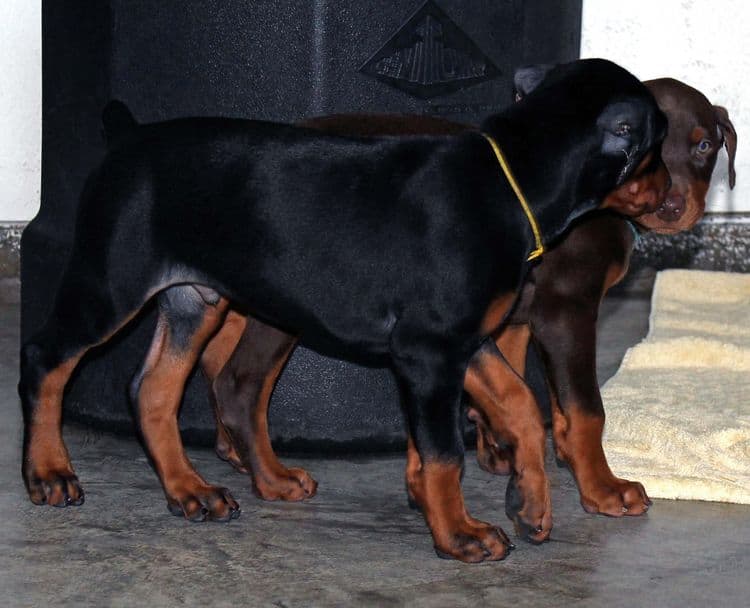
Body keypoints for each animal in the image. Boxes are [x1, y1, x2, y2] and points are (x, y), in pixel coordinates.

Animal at [20, 59, 672, 564]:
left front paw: (529, 503)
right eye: (656, 145)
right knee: (45, 360)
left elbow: (521, 404)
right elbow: (445, 453)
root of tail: (126, 138)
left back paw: (194, 490)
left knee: (152, 389)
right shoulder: (429, 351)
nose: (668, 193)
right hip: (110, 284)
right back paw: (50, 472)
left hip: (193, 301)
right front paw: (459, 534)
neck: (510, 178)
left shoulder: (466, 340)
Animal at [200, 77, 736, 540]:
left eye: (703, 146)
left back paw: (234, 450)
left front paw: (502, 450)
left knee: (218, 356)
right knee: (241, 379)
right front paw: (602, 488)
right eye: (648, 148)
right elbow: (584, 410)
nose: (670, 207)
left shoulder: (510, 318)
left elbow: (512, 384)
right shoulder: (565, 310)